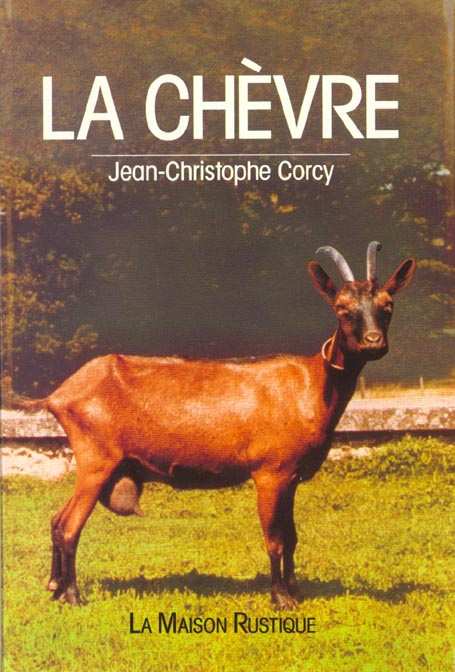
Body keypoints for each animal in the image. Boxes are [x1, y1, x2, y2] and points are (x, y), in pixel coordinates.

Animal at [15, 242, 415, 609]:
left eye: (387, 305)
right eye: (342, 308)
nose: (374, 342)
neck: (313, 385)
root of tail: (59, 395)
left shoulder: (291, 476)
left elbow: (292, 536)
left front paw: (297, 591)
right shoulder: (270, 472)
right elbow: (275, 538)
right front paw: (280, 598)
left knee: (56, 520)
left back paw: (54, 587)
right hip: (96, 458)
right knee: (69, 525)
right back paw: (73, 596)